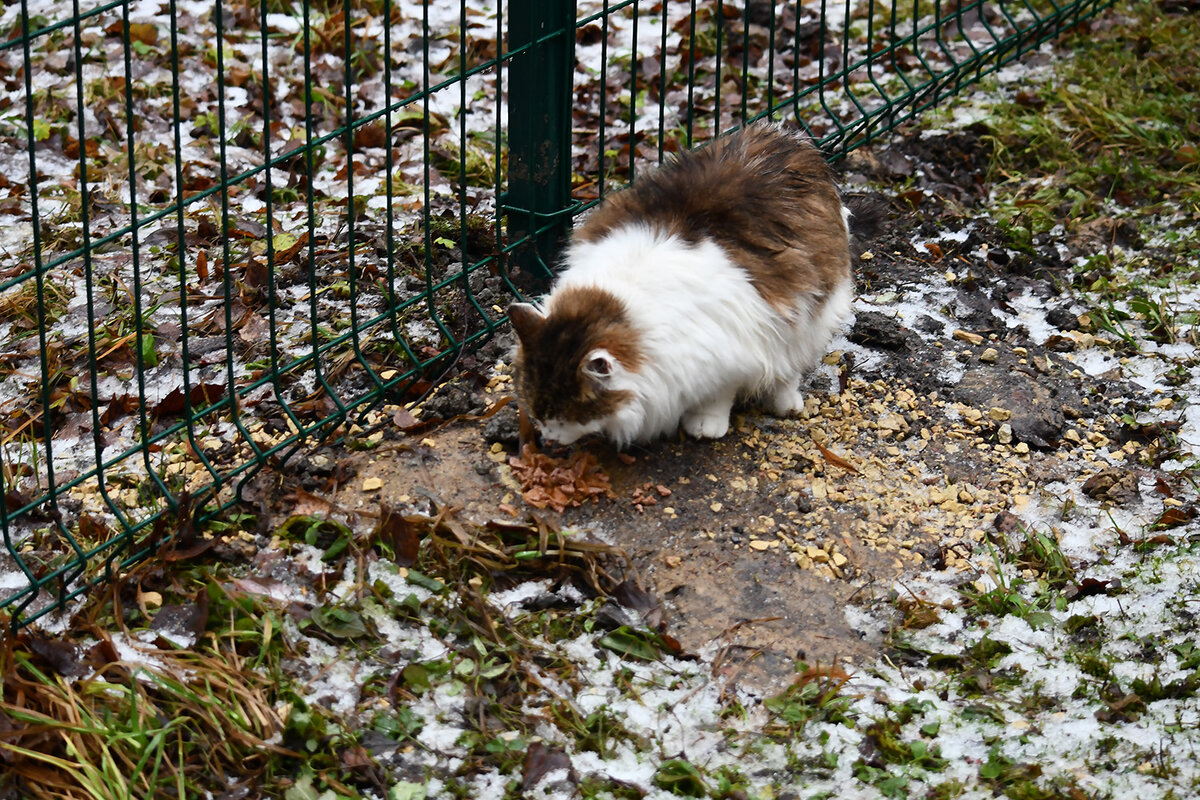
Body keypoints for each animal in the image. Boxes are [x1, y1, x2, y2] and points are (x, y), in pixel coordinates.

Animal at [506, 122, 854, 448]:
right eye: (538, 412)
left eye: (568, 415)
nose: (548, 439)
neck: (622, 304)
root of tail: (784, 136)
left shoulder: (729, 355)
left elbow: (717, 396)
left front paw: (705, 425)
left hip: (810, 315)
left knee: (790, 365)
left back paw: (787, 404)